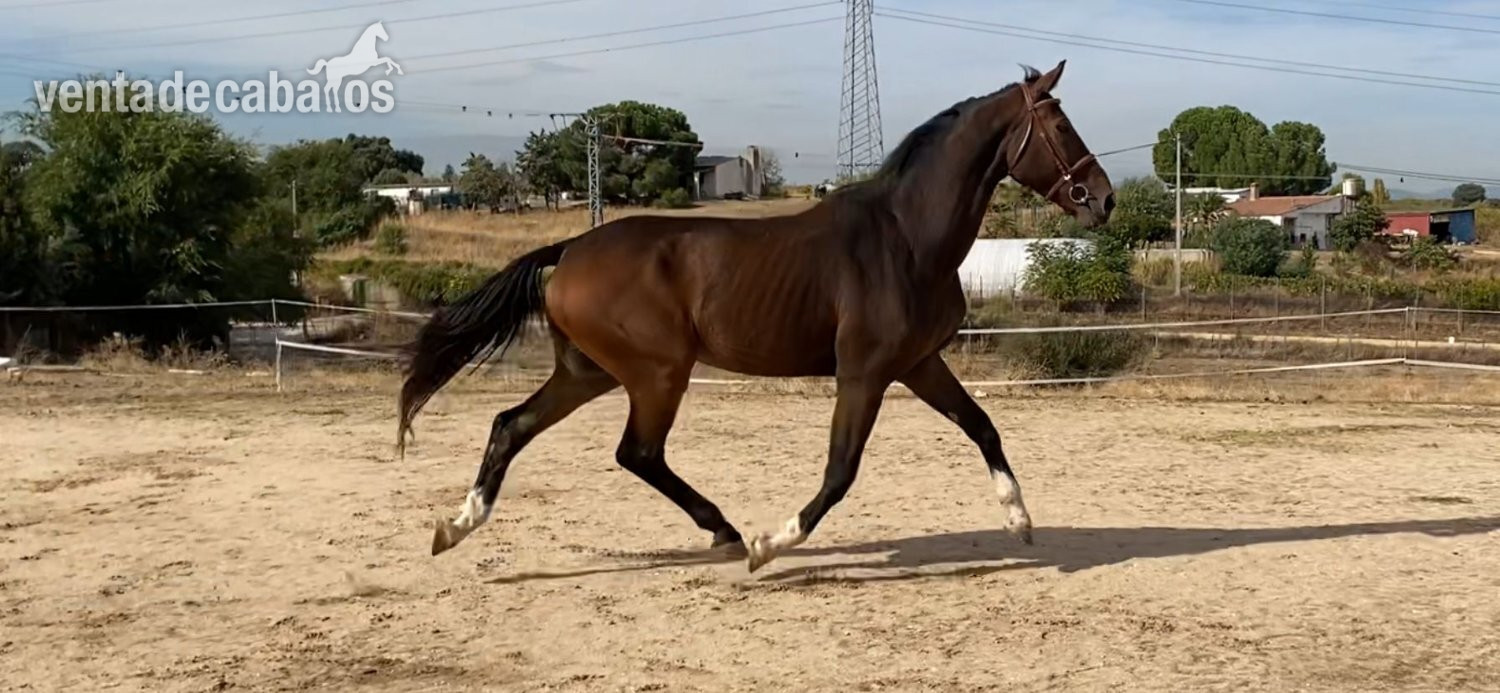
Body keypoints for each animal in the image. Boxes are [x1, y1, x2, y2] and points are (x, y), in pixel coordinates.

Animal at [398, 60, 1115, 573]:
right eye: (1060, 128)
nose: (1103, 199)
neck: (907, 238)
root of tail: (570, 248)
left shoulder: (918, 363)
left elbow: (983, 427)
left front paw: (1020, 521)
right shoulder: (864, 373)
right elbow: (840, 471)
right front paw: (771, 545)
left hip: (590, 372)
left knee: (512, 425)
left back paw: (452, 528)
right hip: (657, 373)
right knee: (636, 452)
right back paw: (728, 532)